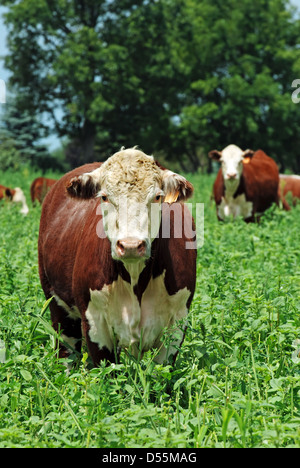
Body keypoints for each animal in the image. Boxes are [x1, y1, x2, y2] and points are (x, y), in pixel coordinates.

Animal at [37, 148, 197, 368]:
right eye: (104, 197)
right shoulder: (95, 323)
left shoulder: (177, 323)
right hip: (57, 305)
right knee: (66, 353)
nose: (130, 245)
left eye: (157, 197)